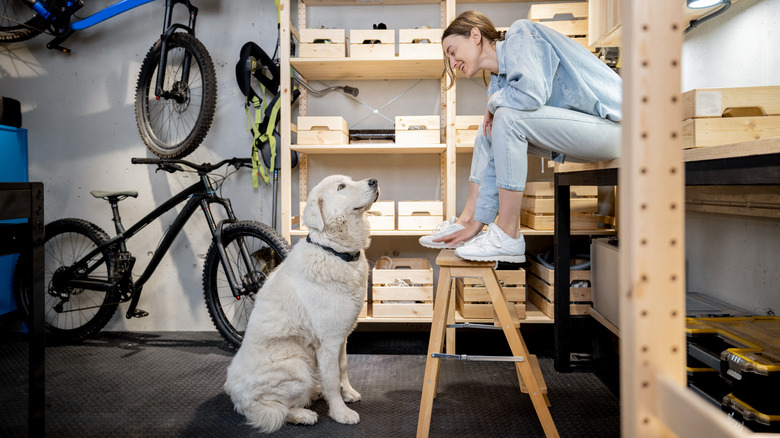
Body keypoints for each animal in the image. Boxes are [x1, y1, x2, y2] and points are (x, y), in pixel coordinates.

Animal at [224, 174, 380, 432]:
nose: (374, 181)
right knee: (274, 410)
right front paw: (340, 412)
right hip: (297, 364)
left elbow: (343, 368)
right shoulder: (329, 341)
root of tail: (236, 398)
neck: (334, 252)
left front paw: (348, 393)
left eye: (349, 180)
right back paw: (303, 414)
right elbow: (332, 379)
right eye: (341, 187)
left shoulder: (342, 336)